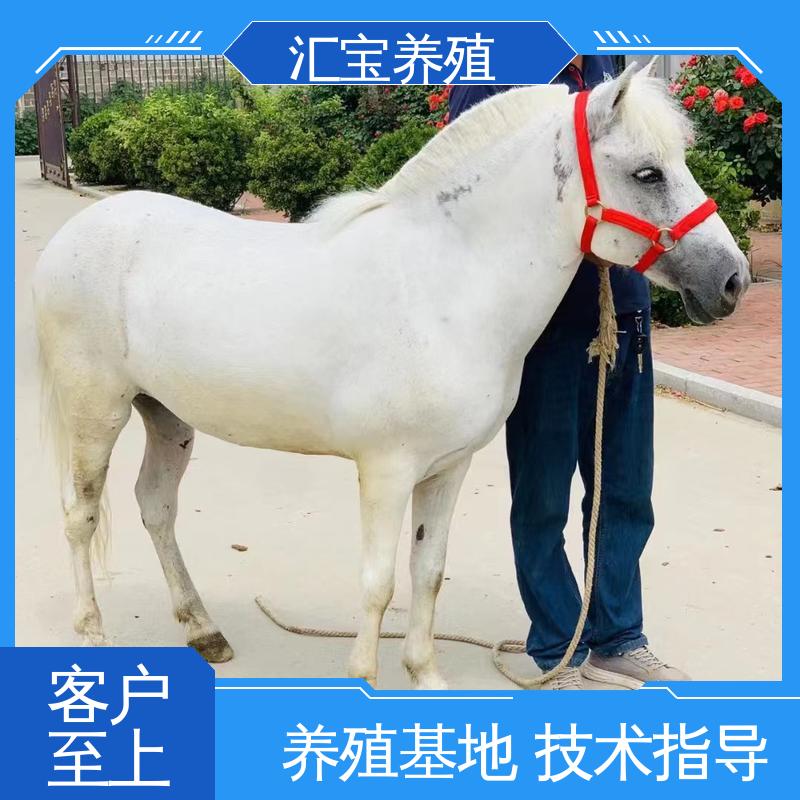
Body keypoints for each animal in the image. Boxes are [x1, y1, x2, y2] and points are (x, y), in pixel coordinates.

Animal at [34, 64, 749, 689]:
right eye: (647, 172)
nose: (732, 279)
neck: (443, 284)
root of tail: (72, 236)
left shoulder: (448, 468)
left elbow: (427, 571)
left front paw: (424, 675)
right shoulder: (386, 470)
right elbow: (378, 583)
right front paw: (364, 678)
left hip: (167, 414)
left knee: (155, 506)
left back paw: (203, 630)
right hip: (99, 412)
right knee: (79, 515)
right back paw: (93, 636)